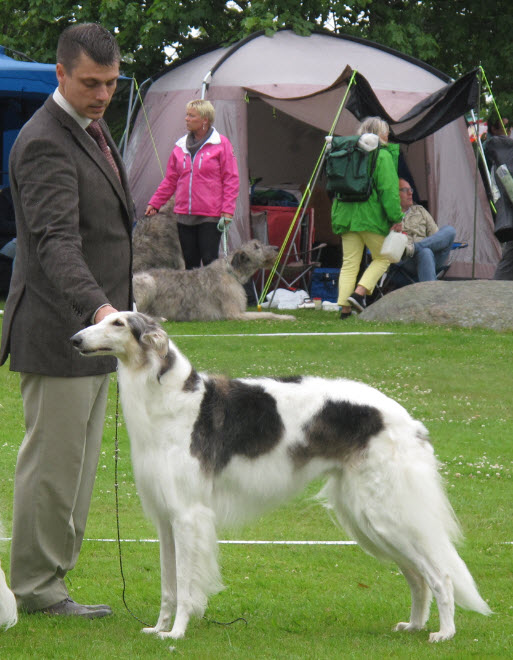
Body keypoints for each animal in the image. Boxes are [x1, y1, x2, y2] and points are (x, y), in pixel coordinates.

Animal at [132, 240, 296, 322]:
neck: (231, 272)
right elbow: (267, 314)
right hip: (147, 282)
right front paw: (285, 317)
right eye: (256, 247)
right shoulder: (235, 314)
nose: (277, 248)